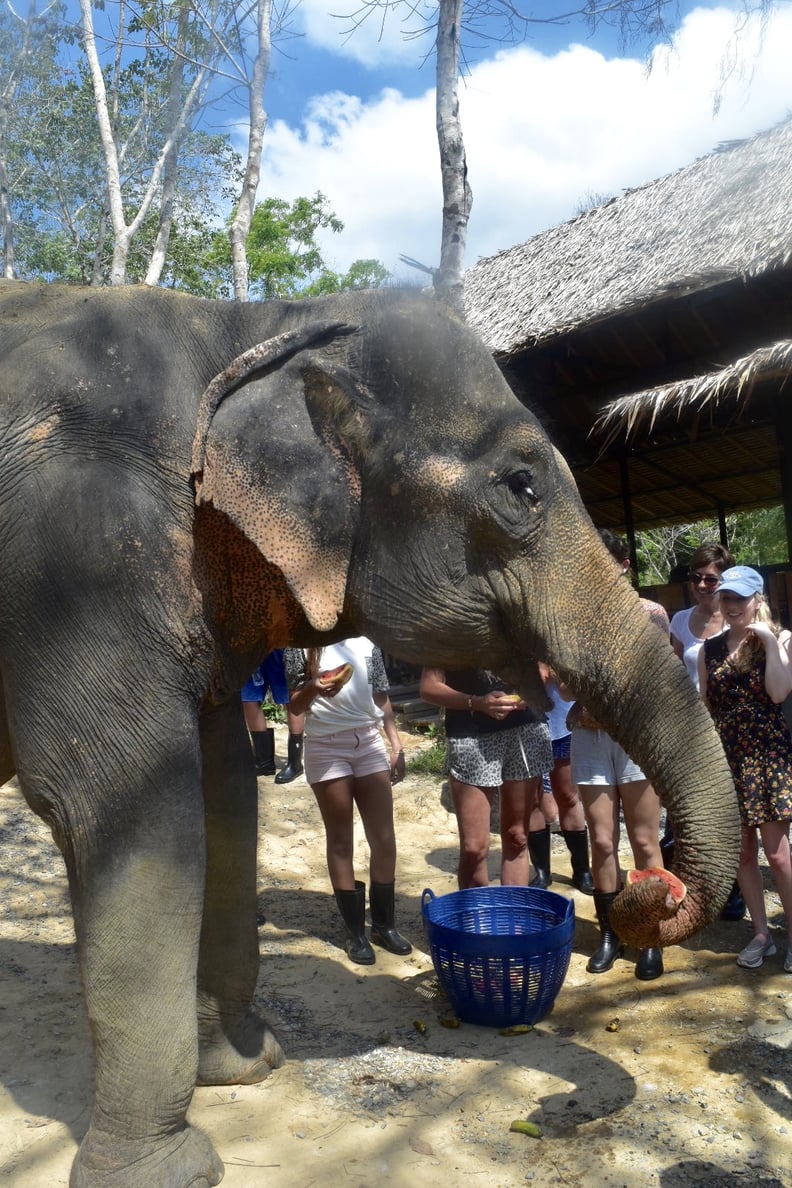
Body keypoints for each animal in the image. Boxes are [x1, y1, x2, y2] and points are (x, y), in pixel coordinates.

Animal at [0, 280, 740, 1188]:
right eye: (522, 487)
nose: (651, 891)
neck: (251, 325)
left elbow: (222, 794)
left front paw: (248, 1066)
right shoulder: (80, 552)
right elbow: (118, 806)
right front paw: (167, 1171)